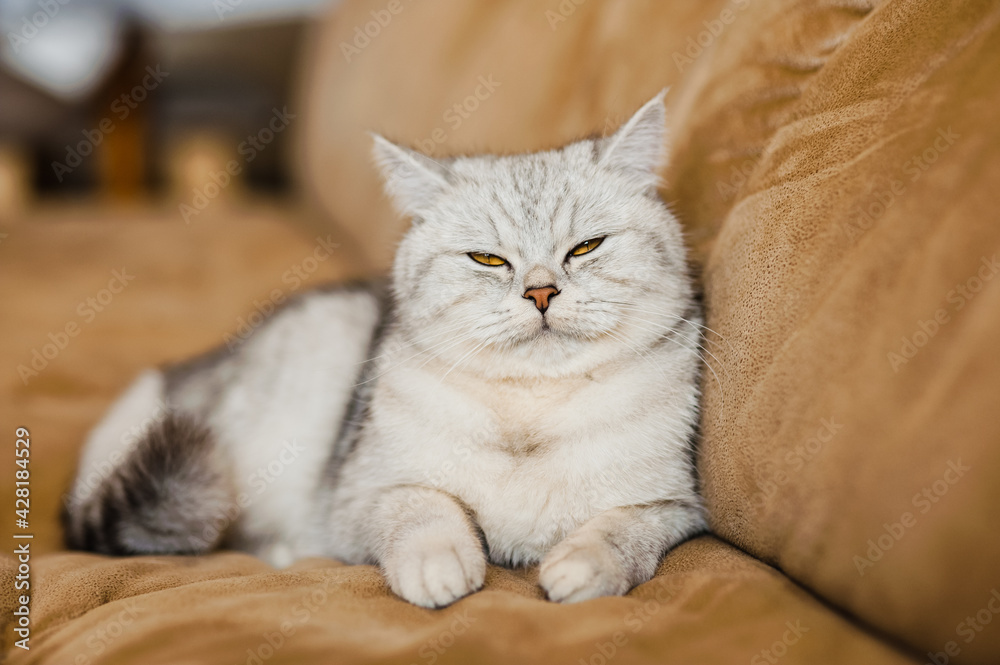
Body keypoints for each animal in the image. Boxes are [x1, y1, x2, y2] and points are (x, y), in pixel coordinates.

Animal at [64, 91, 704, 608]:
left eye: (587, 247)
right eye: (487, 259)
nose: (541, 292)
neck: (529, 410)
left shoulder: (676, 510)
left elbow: (620, 531)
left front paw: (579, 568)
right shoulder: (358, 499)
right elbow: (423, 507)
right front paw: (438, 566)